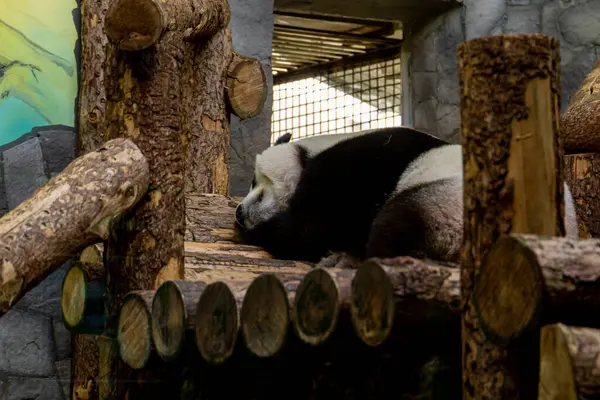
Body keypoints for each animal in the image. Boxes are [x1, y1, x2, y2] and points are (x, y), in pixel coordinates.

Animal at [233, 127, 576, 266]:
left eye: (257, 185)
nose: (239, 212)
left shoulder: (357, 170)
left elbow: (309, 230)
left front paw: (265, 231)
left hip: (445, 204)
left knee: (395, 223)